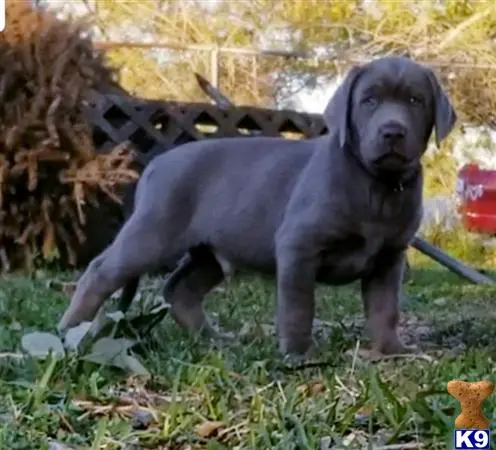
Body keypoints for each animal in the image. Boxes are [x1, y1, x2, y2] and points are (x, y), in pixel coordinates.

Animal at [58, 56, 458, 358]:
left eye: (415, 101)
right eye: (369, 101)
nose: (392, 132)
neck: (377, 185)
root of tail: (157, 163)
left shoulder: (389, 258)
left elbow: (385, 308)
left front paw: (392, 350)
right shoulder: (298, 246)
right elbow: (298, 306)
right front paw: (298, 353)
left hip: (209, 251)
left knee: (180, 289)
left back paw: (212, 340)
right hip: (153, 233)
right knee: (99, 272)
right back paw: (70, 331)